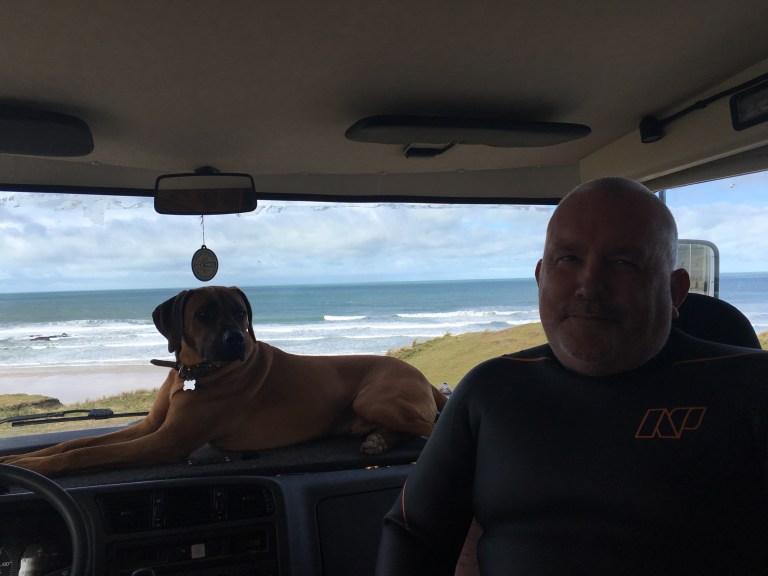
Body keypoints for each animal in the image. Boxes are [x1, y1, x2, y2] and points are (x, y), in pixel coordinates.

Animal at [1, 286, 447, 477]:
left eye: (241, 313)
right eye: (203, 314)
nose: (237, 340)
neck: (195, 373)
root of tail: (424, 379)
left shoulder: (167, 441)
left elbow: (85, 455)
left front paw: (37, 467)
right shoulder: (151, 426)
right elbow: (76, 443)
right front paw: (23, 460)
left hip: (375, 398)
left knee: (430, 427)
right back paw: (378, 440)